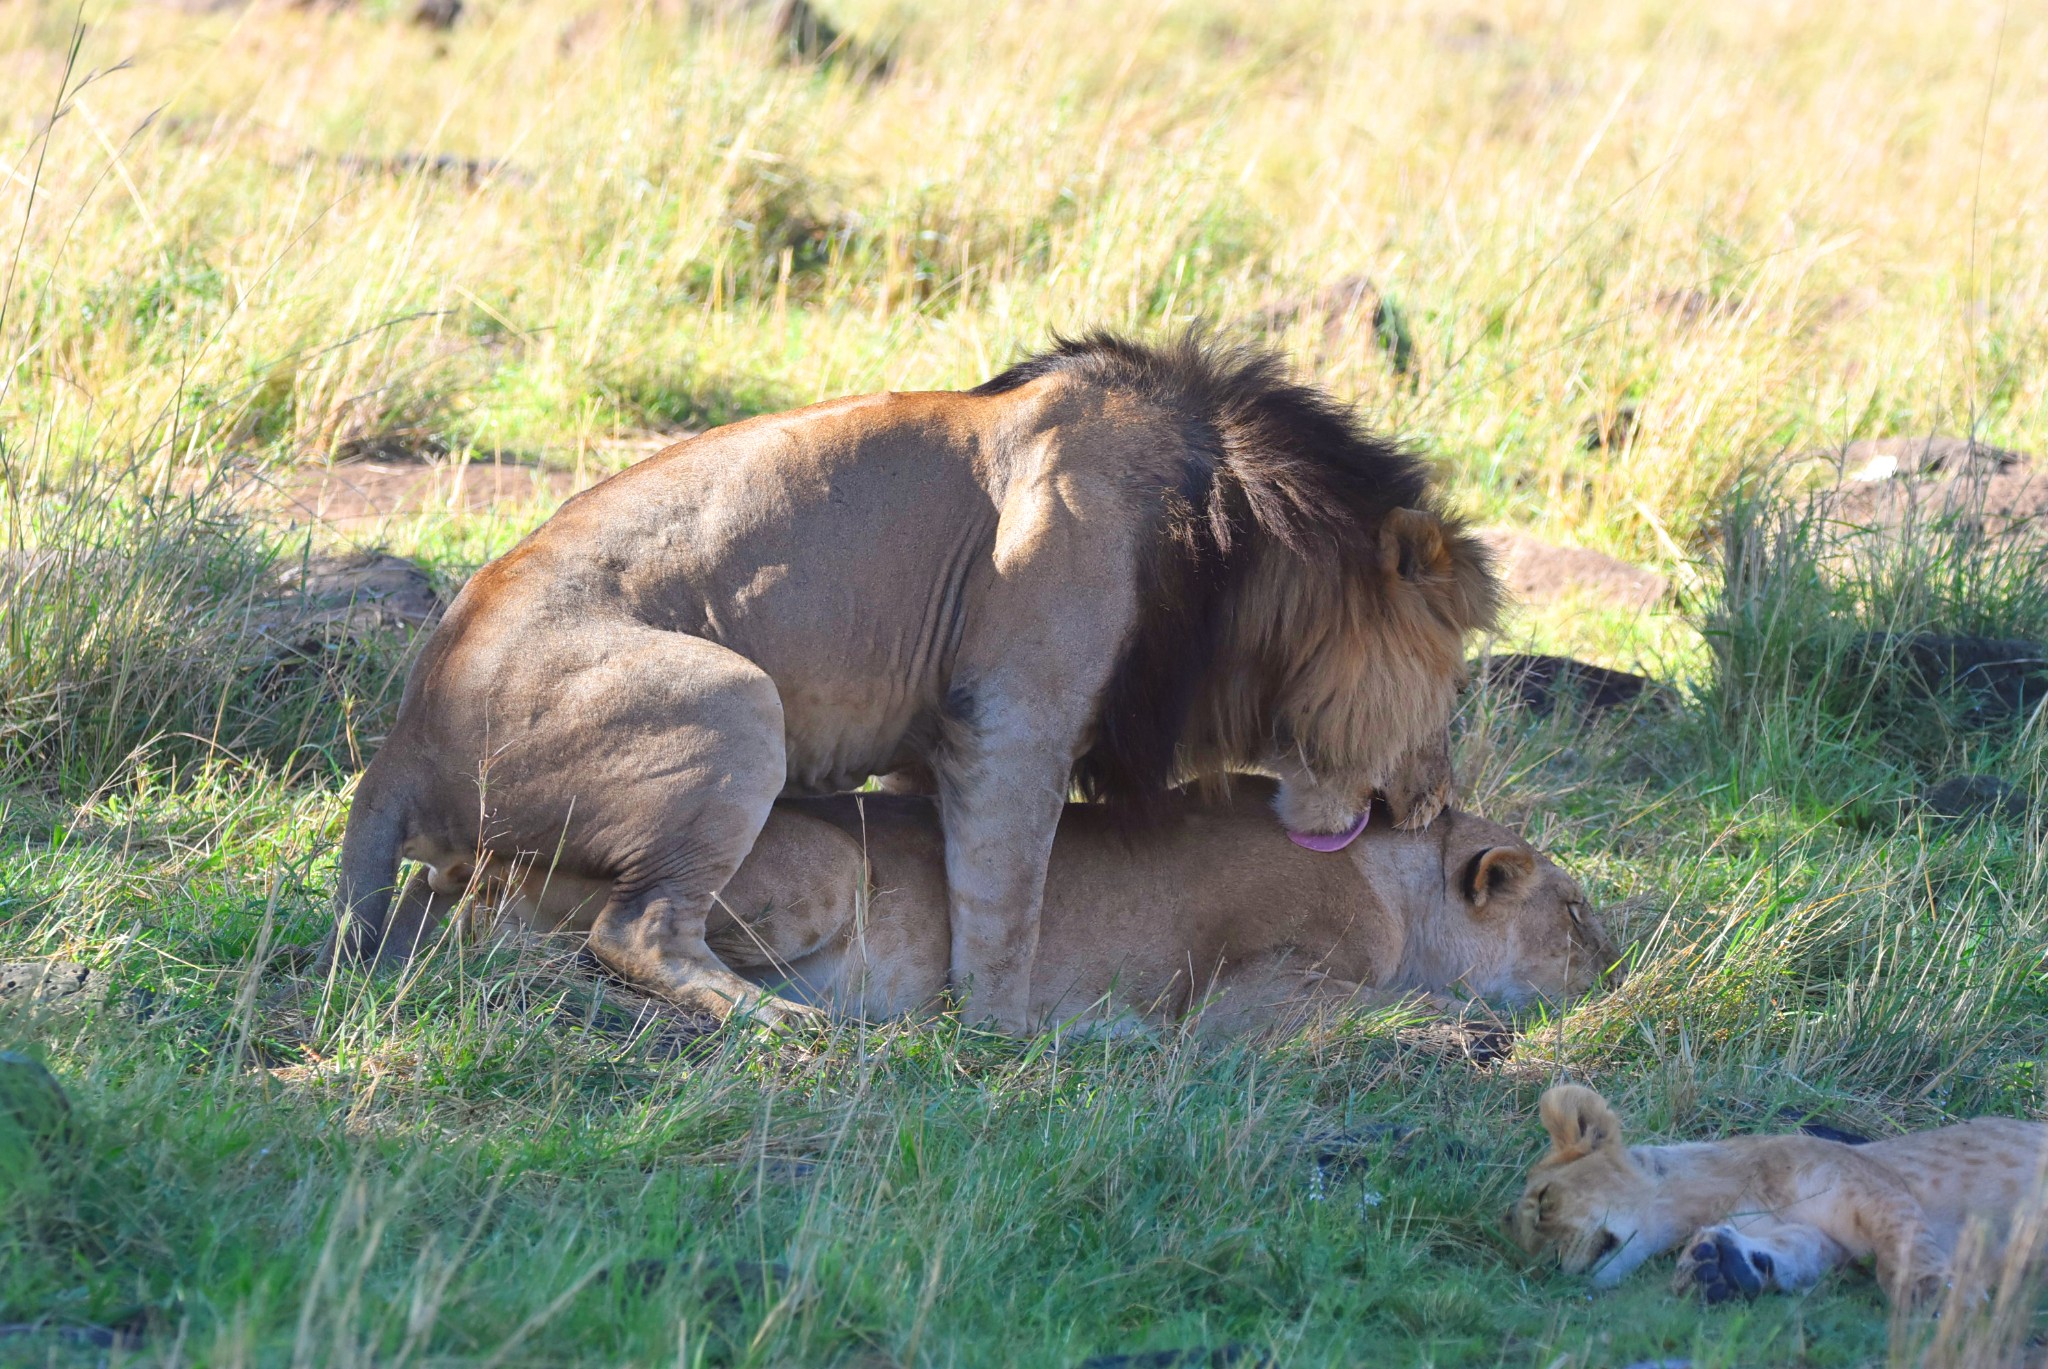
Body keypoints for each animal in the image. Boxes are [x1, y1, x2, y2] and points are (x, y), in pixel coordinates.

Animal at [327, 334, 1499, 1024]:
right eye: (1451, 681)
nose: (1432, 802)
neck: (1235, 543)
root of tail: (402, 743)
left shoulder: (942, 734)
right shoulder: (1011, 718)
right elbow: (1009, 897)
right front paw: (1008, 1038)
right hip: (736, 705)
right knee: (636, 929)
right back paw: (775, 1020)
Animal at [1507, 1082, 2048, 1303]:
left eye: (1545, 1202)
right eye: (1525, 1256)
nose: (1548, 1271)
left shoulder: (1874, 1187)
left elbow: (1905, 1244)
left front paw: (1932, 1292)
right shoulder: (1827, 1241)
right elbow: (1794, 1251)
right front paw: (1717, 1269)